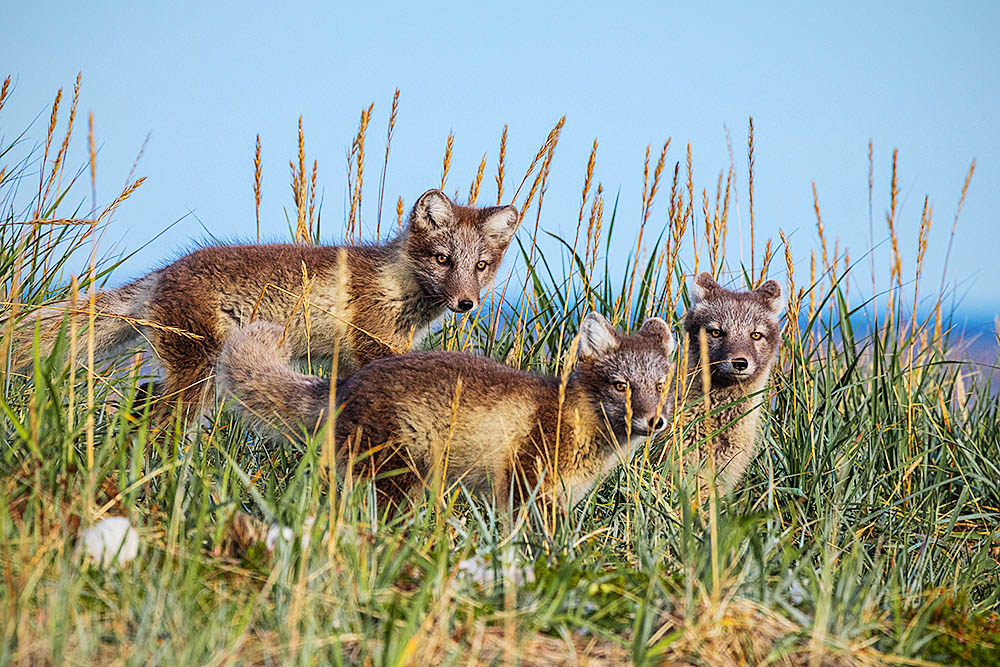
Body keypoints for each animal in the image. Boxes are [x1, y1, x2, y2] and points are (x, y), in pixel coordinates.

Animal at [13, 189, 516, 418]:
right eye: (442, 259)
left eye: (482, 266)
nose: (465, 304)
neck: (395, 284)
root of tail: (163, 273)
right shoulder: (374, 345)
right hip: (199, 373)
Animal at [215, 312, 676, 506]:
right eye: (621, 386)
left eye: (659, 386)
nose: (654, 422)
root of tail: (344, 385)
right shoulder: (526, 486)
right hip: (396, 479)